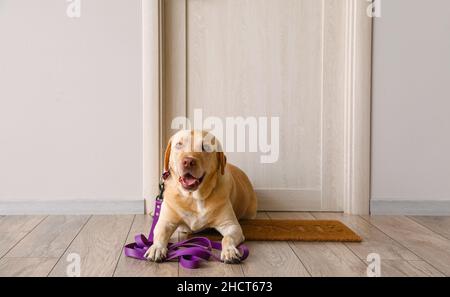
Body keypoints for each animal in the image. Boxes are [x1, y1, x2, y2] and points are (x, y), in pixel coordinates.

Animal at [144, 129, 256, 262]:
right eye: (179, 144)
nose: (188, 162)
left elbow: (227, 238)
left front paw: (229, 250)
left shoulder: (231, 225)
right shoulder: (166, 222)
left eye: (205, 147)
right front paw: (157, 247)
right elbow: (160, 233)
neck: (193, 197)